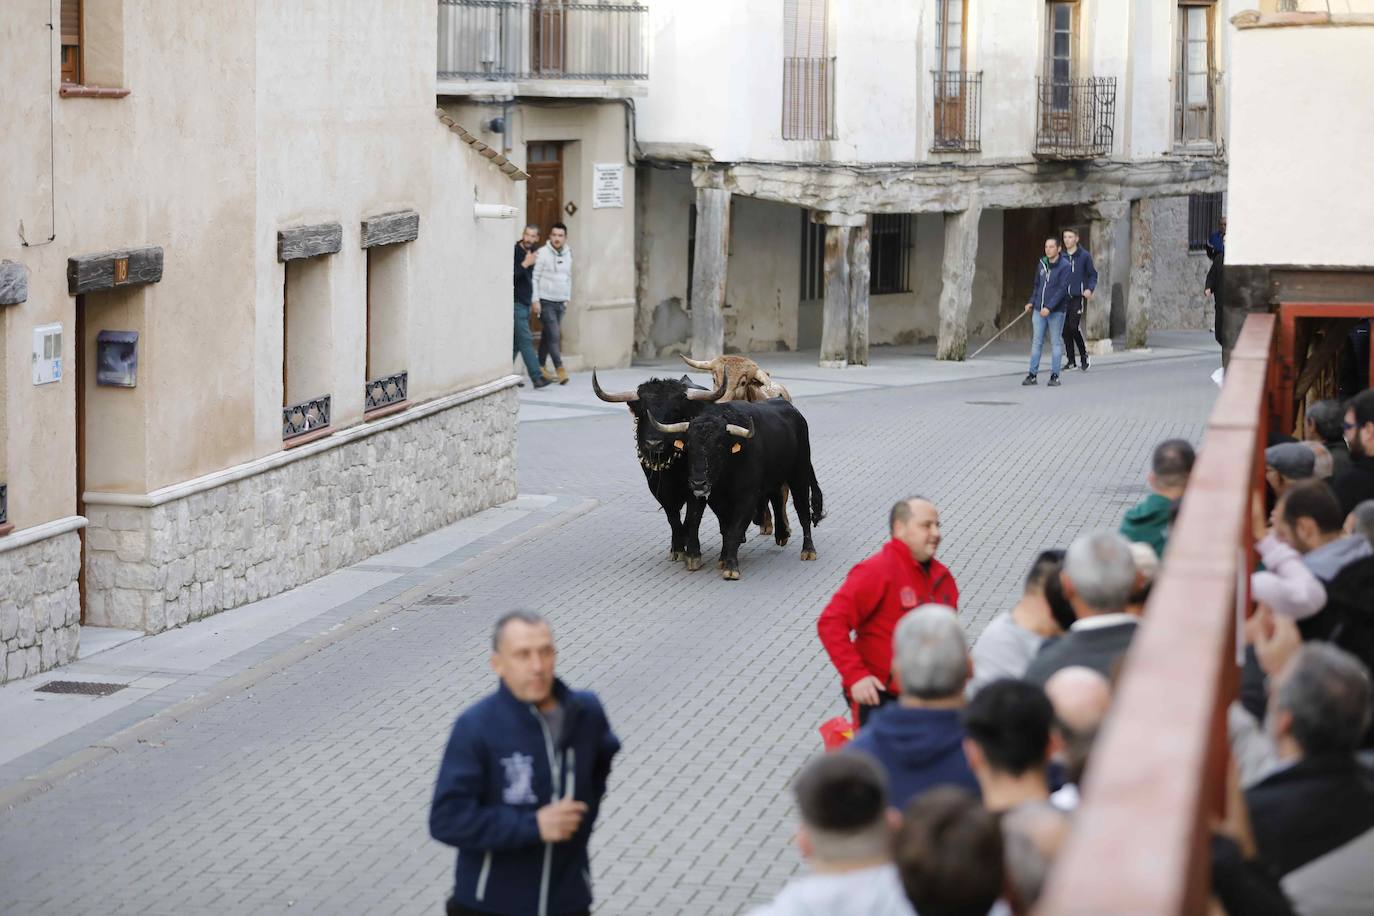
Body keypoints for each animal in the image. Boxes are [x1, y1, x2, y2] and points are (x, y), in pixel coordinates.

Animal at [648, 398, 818, 579]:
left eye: (718, 447)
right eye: (689, 447)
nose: (698, 483)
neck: (726, 474)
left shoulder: (747, 498)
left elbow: (735, 529)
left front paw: (731, 567)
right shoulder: (715, 500)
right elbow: (725, 529)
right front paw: (723, 559)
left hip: (799, 475)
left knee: (803, 511)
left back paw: (808, 550)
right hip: (775, 478)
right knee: (778, 499)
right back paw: (782, 535)